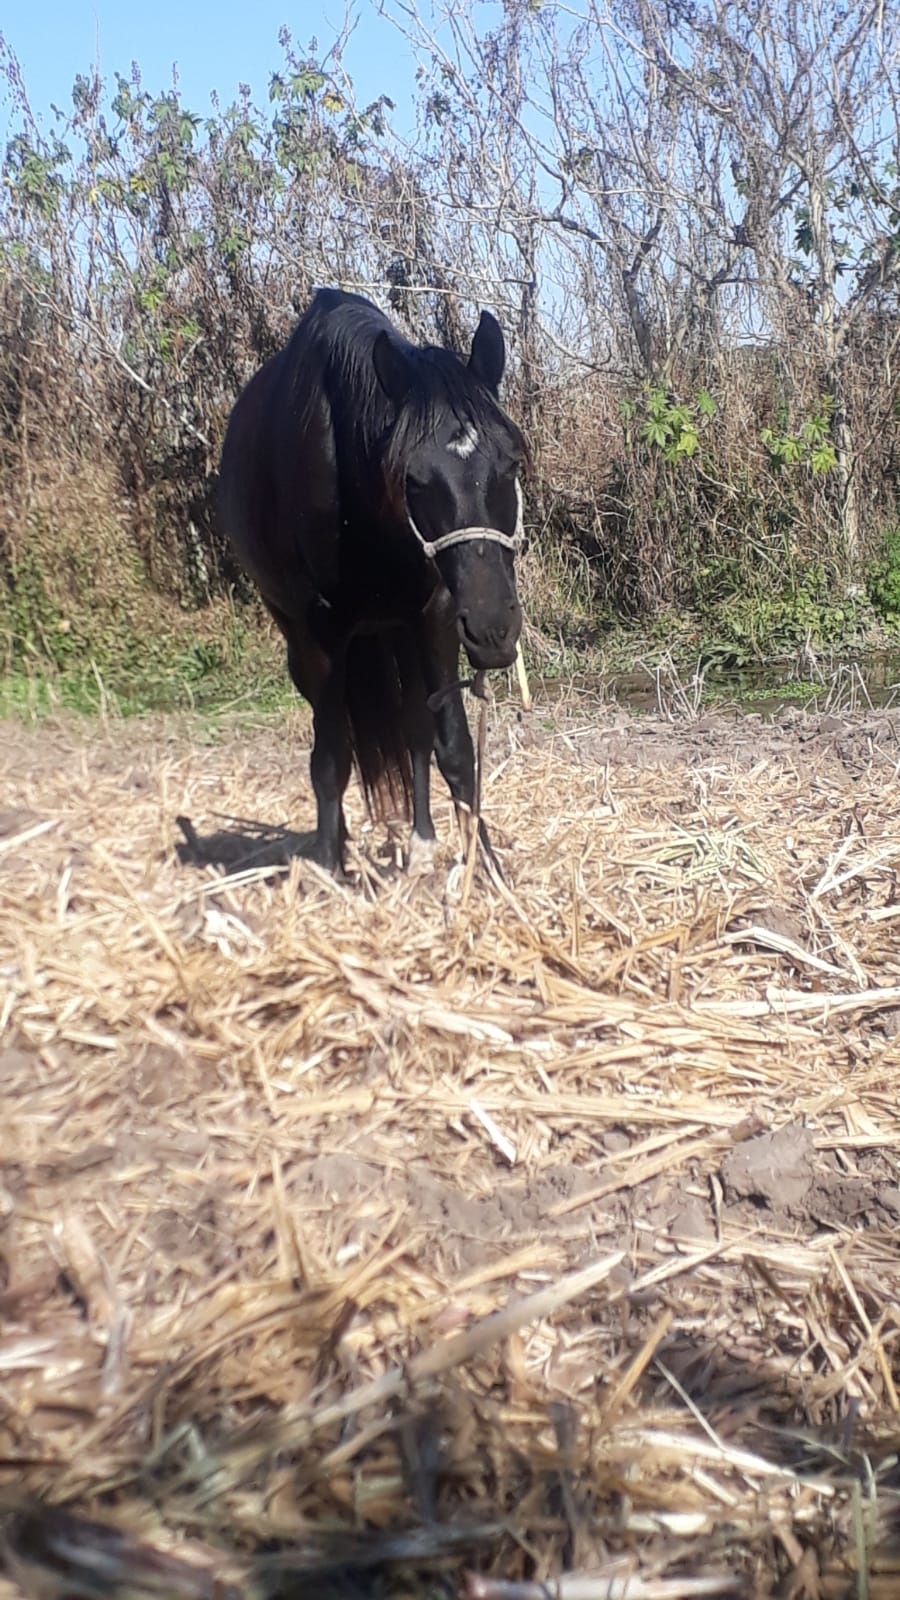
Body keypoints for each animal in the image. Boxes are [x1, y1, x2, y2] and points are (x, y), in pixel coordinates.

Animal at [217, 288, 527, 875]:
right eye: (414, 479)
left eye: (513, 464)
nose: (493, 629)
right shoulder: (319, 634)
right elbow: (330, 760)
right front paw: (329, 868)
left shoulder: (434, 615)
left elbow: (454, 747)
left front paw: (486, 867)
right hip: (306, 641)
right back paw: (336, 845)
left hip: (397, 629)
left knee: (414, 728)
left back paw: (421, 843)